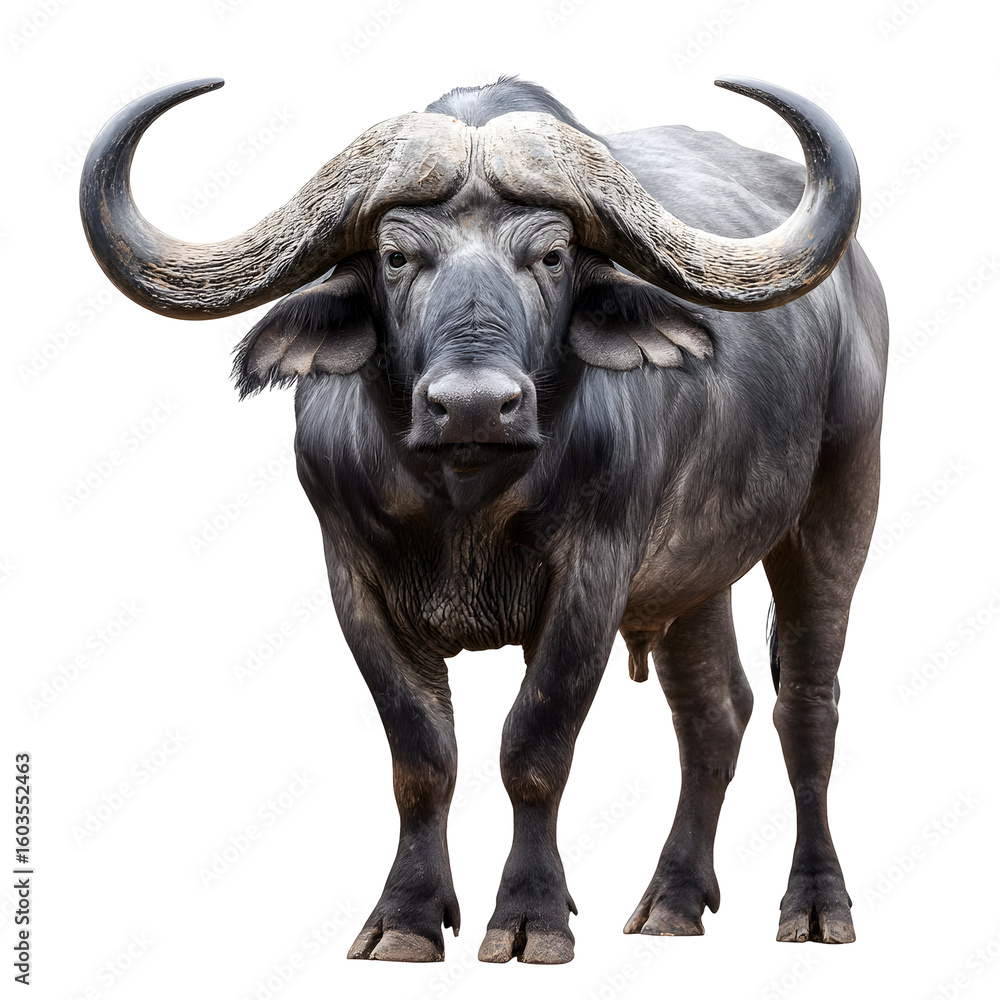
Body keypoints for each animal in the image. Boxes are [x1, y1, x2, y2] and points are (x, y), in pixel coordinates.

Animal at [80, 75, 888, 964]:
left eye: (553, 256)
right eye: (396, 256)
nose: (473, 404)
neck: (461, 499)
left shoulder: (590, 580)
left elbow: (534, 744)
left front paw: (531, 916)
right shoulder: (351, 579)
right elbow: (422, 756)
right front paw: (405, 918)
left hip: (839, 507)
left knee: (804, 703)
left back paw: (816, 906)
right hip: (693, 578)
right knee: (714, 713)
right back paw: (673, 901)